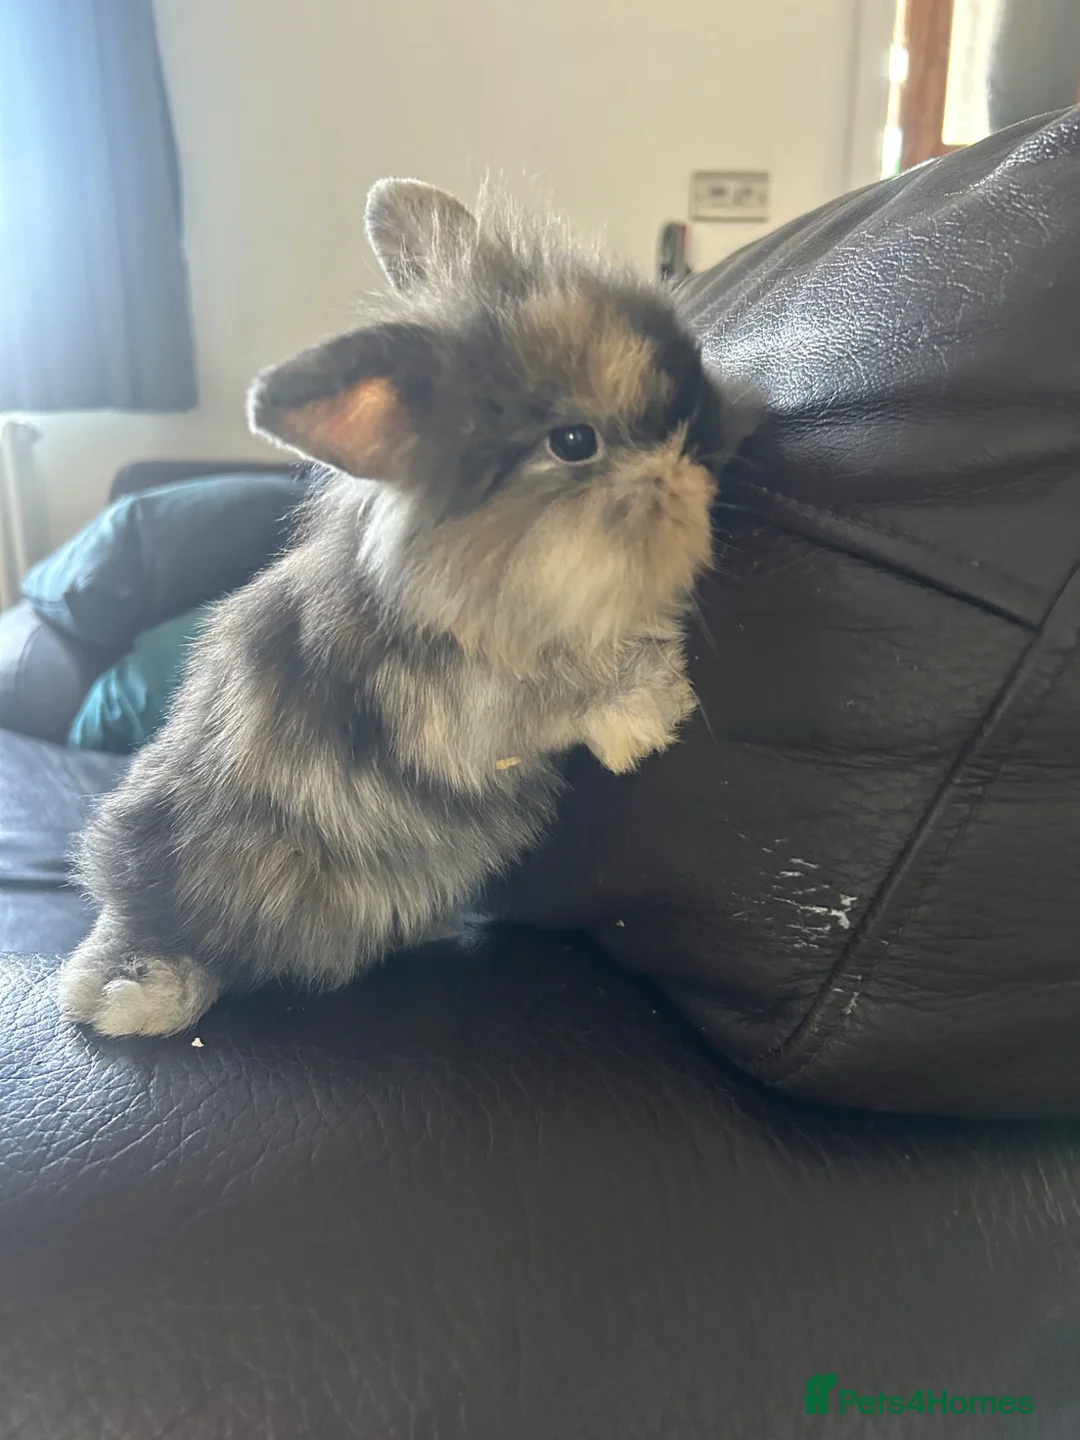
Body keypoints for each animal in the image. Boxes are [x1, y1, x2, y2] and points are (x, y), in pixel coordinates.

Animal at [55, 178, 747, 1038]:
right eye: (574, 441)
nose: (712, 440)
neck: (470, 585)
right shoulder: (468, 712)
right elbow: (563, 695)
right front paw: (653, 712)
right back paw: (133, 996)